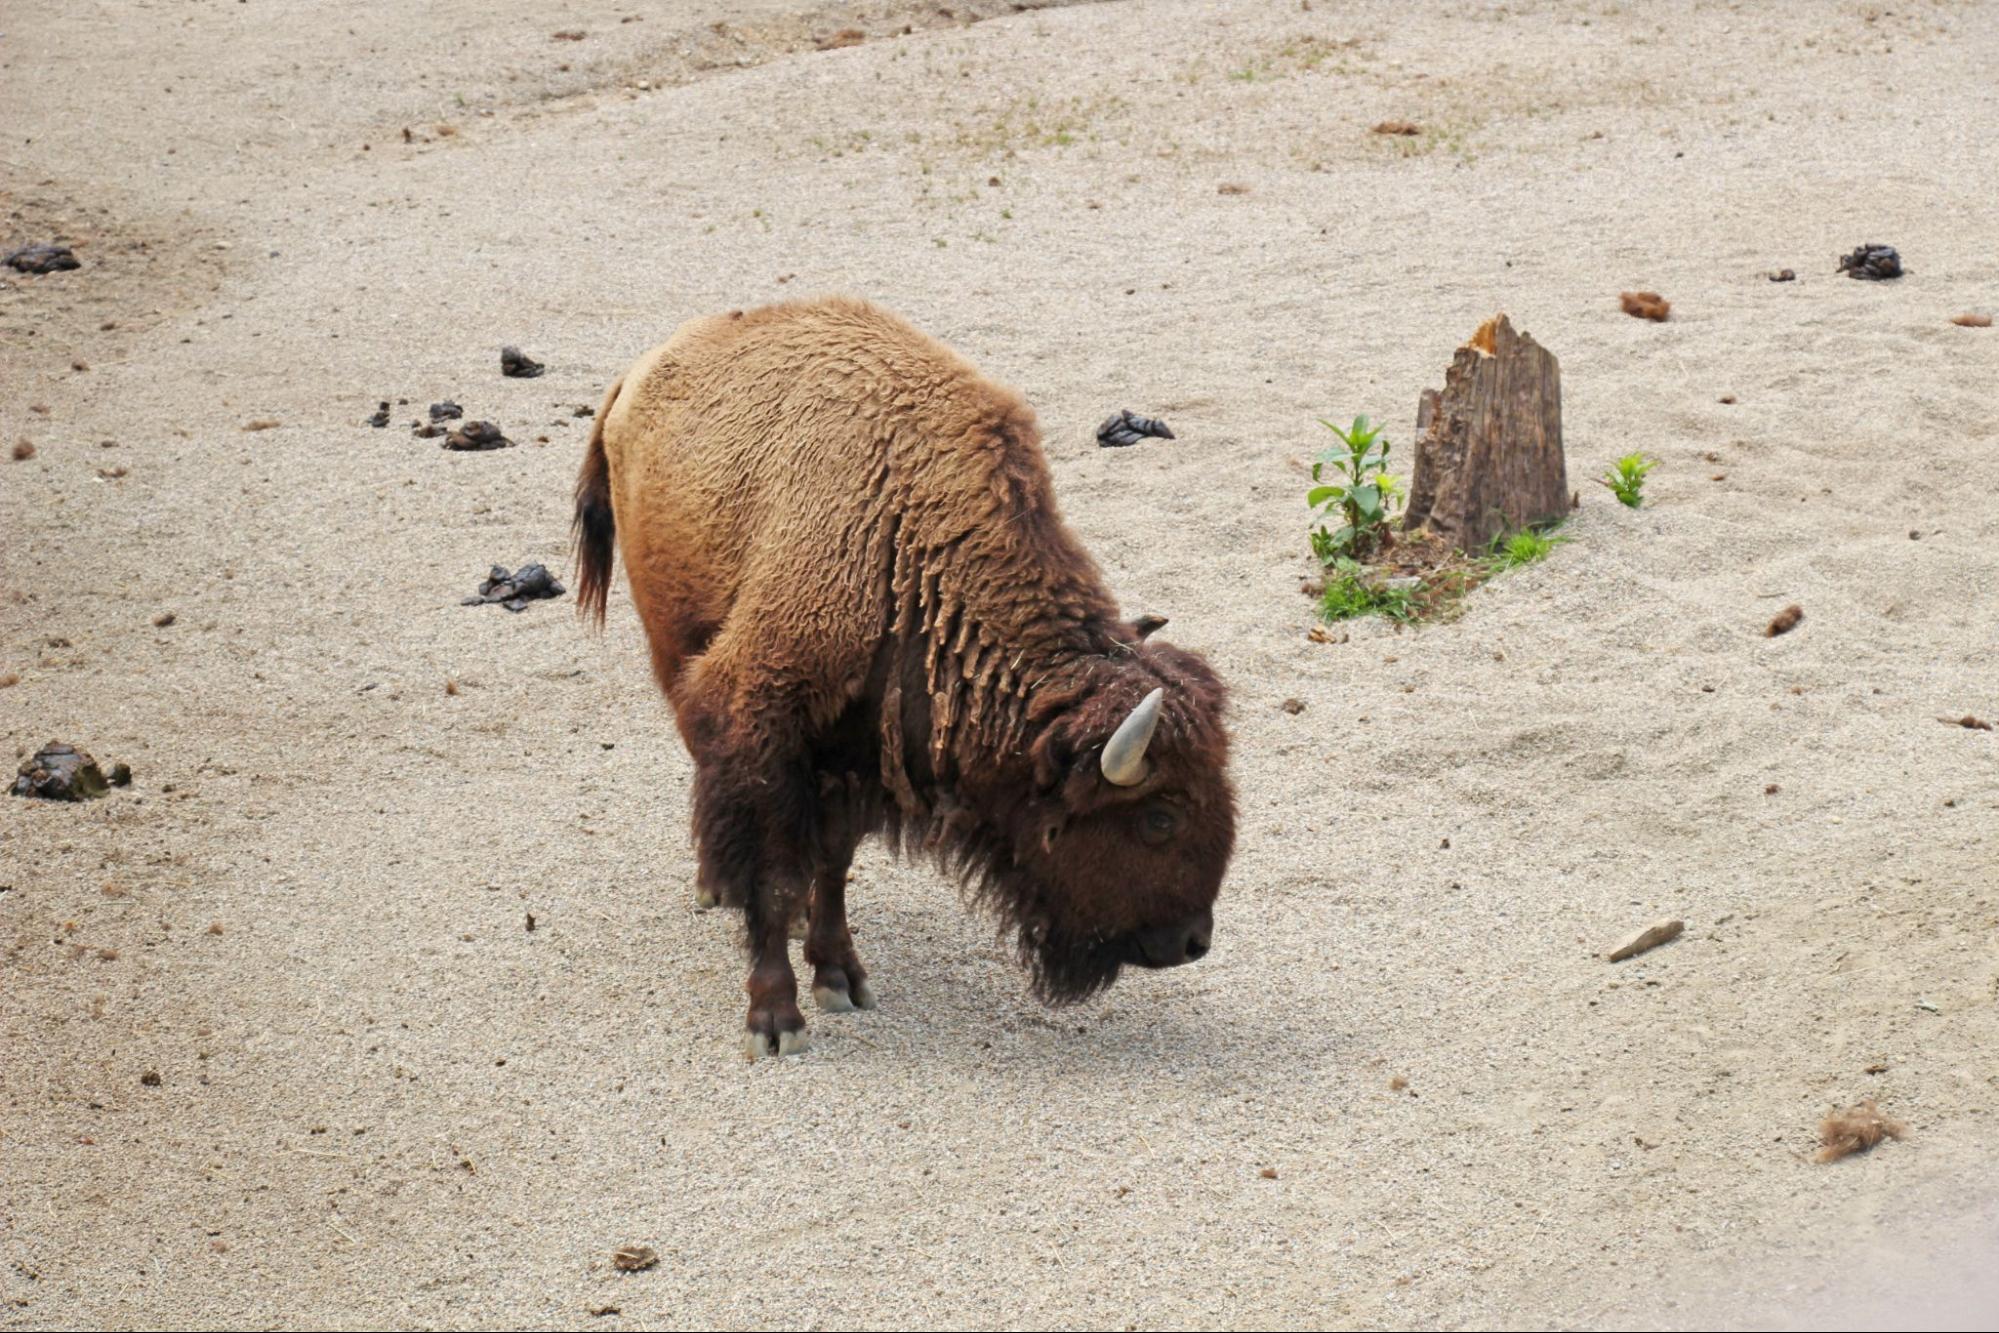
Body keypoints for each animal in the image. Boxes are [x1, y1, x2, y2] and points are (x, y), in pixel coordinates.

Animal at [579, 297, 1231, 1055]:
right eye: (1159, 816)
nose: (1192, 942)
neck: (912, 538)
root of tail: (638, 374)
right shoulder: (765, 719)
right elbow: (775, 874)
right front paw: (776, 1020)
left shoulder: (854, 753)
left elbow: (832, 864)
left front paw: (840, 977)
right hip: (670, 644)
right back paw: (716, 886)